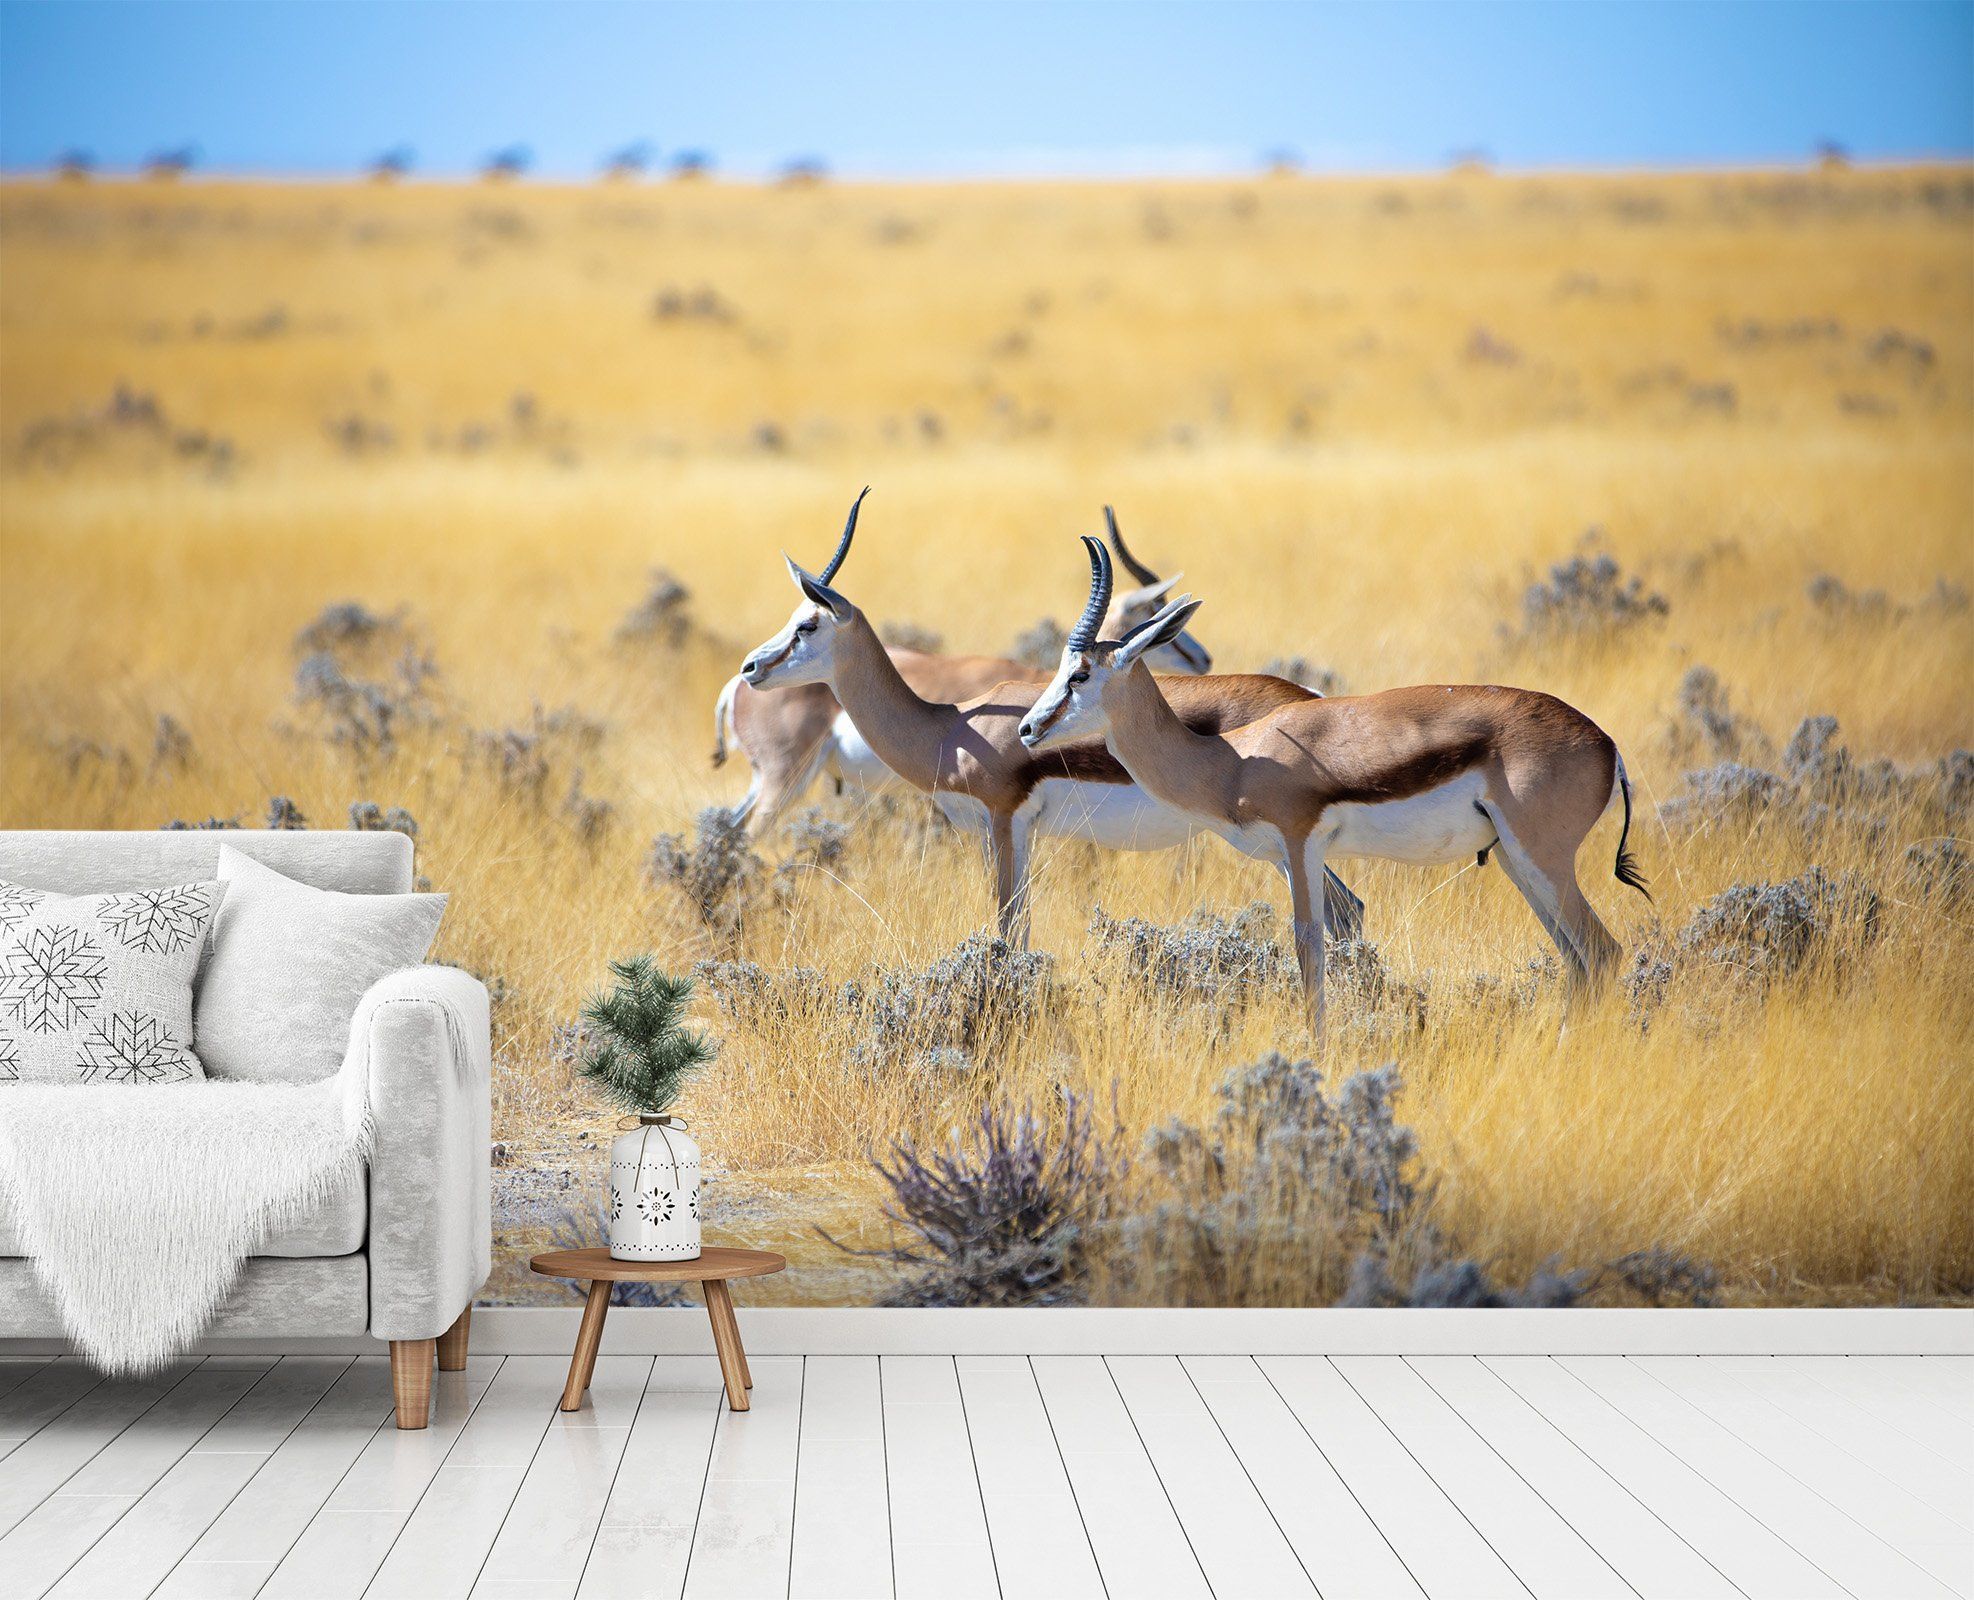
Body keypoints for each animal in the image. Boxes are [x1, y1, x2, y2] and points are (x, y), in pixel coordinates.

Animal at [1019, 538, 1650, 1033]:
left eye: (1080, 674)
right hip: (1519, 863)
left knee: (1603, 952)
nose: (1028, 728)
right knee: (1579, 961)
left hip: (1543, 860)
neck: (1232, 760)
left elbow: (1308, 948)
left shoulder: (1301, 846)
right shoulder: (1292, 855)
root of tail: (1607, 745)